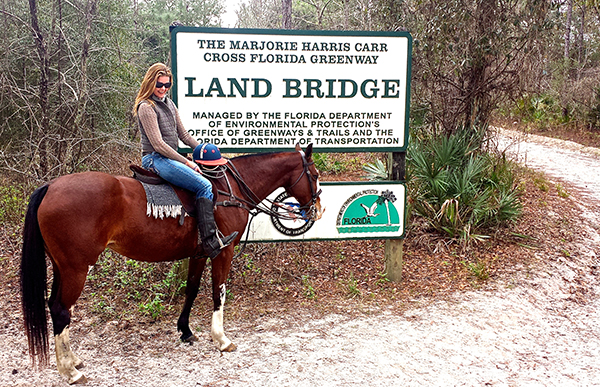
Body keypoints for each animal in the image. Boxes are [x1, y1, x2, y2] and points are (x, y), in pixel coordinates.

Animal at [21, 145, 324, 384]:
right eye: (315, 175)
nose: (318, 209)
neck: (228, 191)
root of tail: (51, 187)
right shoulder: (222, 252)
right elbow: (218, 293)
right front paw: (221, 339)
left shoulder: (199, 254)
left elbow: (191, 290)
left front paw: (186, 331)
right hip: (76, 268)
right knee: (61, 311)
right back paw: (70, 371)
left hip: (62, 267)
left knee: (54, 306)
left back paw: (73, 360)